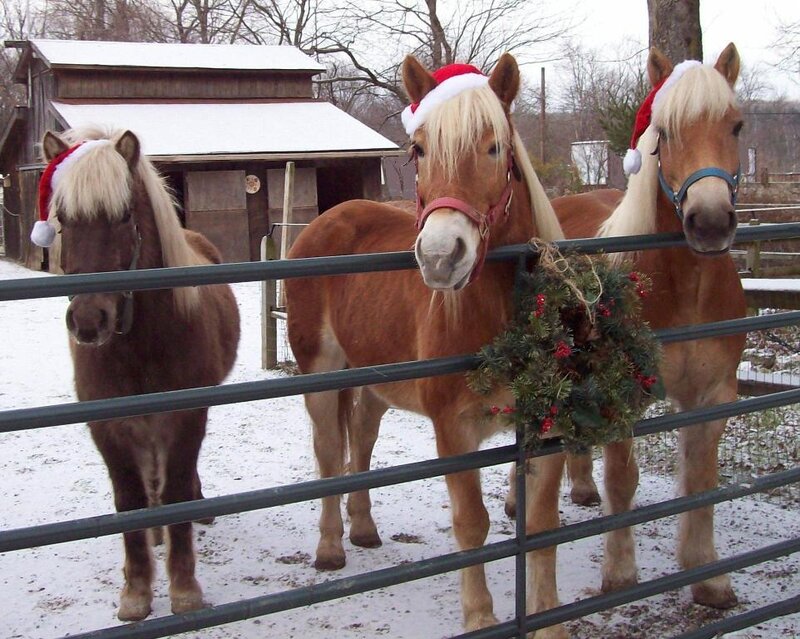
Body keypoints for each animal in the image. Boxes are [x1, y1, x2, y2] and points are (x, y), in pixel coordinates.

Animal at [40, 128, 241, 621]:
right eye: (63, 219)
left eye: (124, 215)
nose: (88, 321)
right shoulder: (108, 427)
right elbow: (130, 501)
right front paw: (135, 593)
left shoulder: (186, 417)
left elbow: (176, 492)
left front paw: (184, 588)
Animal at [286, 54, 571, 635]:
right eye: (418, 149)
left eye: (495, 146)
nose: (441, 258)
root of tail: (325, 222)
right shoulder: (454, 431)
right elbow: (472, 524)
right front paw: (481, 617)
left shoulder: (544, 428)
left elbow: (541, 523)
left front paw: (548, 620)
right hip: (320, 375)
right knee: (328, 452)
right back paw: (330, 549)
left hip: (373, 382)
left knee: (361, 442)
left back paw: (363, 528)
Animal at [508, 43, 746, 610]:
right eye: (666, 131)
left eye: (736, 126)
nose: (709, 222)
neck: (686, 290)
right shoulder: (623, 396)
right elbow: (623, 479)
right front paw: (619, 575)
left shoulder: (713, 394)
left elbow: (701, 478)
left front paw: (707, 577)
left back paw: (578, 488)